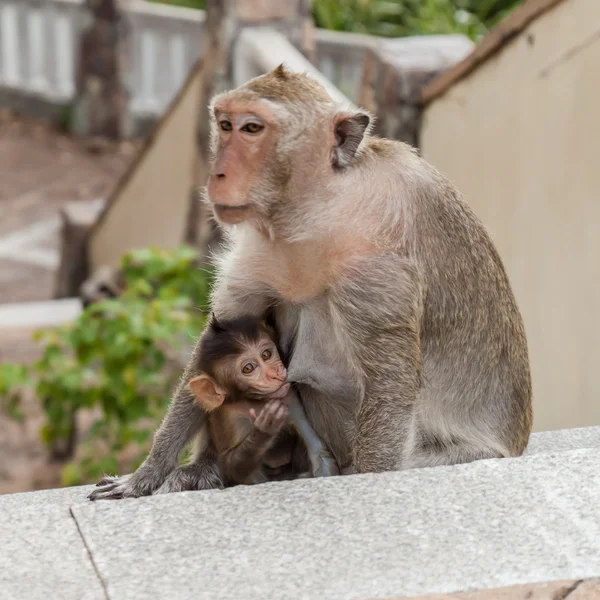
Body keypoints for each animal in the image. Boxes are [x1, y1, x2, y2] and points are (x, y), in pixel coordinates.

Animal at [189, 312, 338, 486]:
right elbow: (231, 465)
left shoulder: (290, 399)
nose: (275, 374)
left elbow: (318, 450)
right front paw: (264, 430)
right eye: (248, 368)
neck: (257, 401)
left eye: (266, 354)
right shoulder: (230, 419)